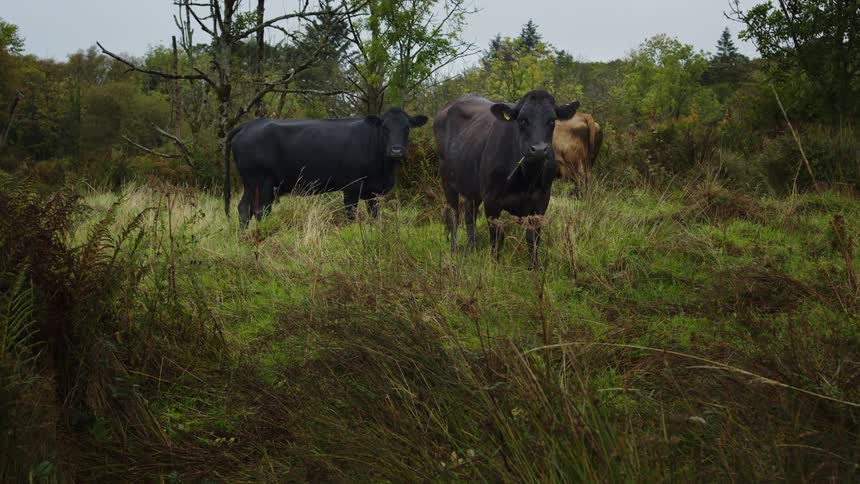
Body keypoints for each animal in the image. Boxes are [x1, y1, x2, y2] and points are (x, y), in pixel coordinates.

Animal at [225, 107, 429, 229]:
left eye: (407, 128)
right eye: (385, 128)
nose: (396, 150)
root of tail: (249, 124)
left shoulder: (372, 191)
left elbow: (374, 214)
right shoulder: (351, 188)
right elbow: (350, 215)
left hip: (251, 184)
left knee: (244, 208)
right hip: (262, 182)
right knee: (259, 210)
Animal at [434, 91, 580, 267]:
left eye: (552, 120)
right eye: (522, 120)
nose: (539, 149)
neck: (527, 179)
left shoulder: (542, 200)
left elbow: (533, 238)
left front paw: (534, 267)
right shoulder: (491, 200)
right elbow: (496, 238)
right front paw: (494, 265)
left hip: (472, 186)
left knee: (470, 214)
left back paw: (472, 247)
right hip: (447, 181)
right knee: (453, 215)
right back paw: (454, 250)